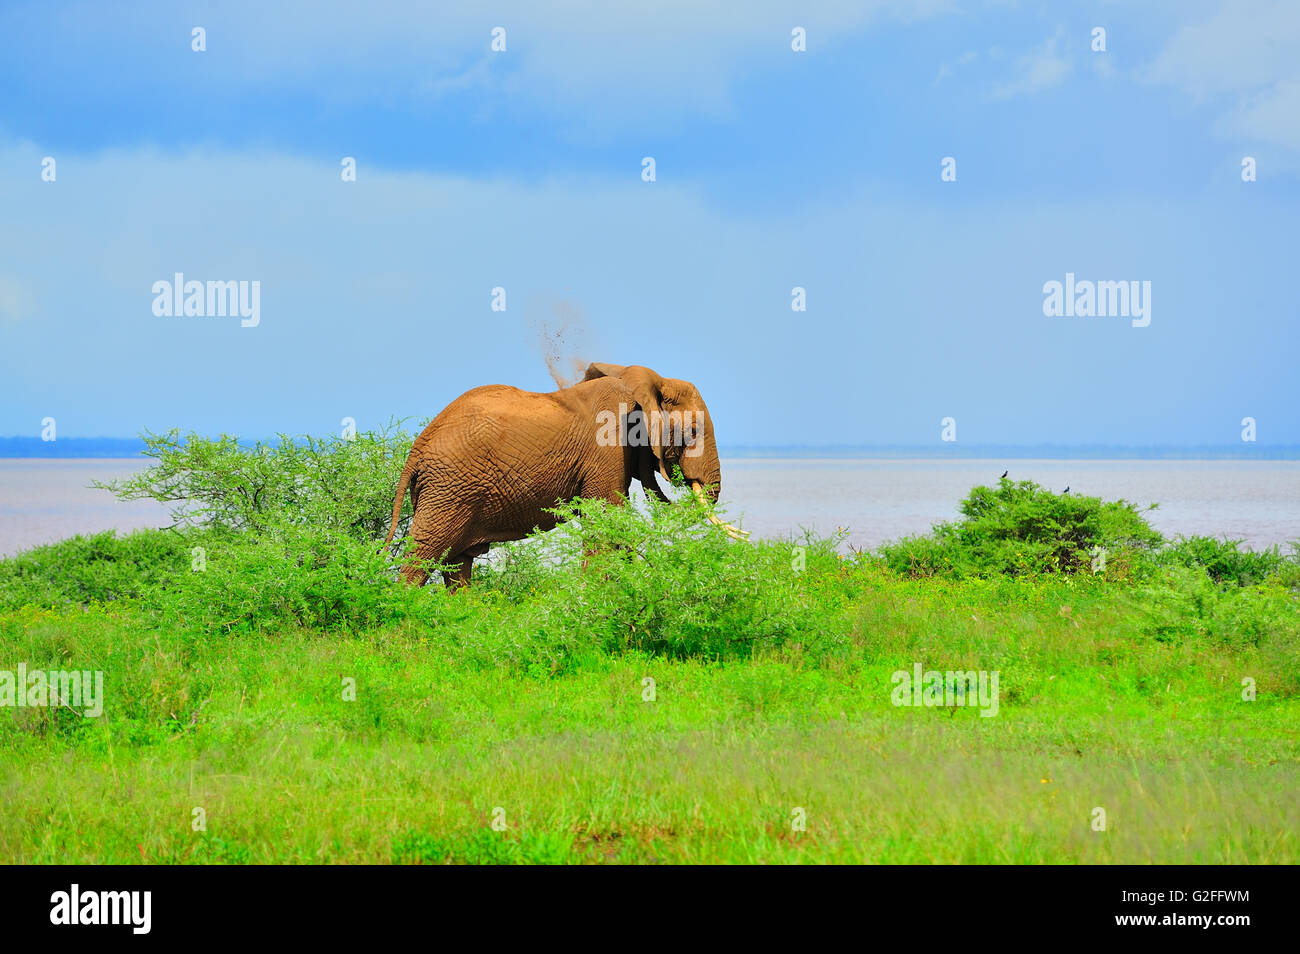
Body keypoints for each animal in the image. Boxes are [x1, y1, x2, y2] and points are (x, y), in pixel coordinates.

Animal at [381, 362, 746, 587]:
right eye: (694, 432)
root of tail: (417, 448)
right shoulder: (606, 445)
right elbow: (606, 516)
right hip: (449, 489)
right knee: (424, 553)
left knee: (458, 564)